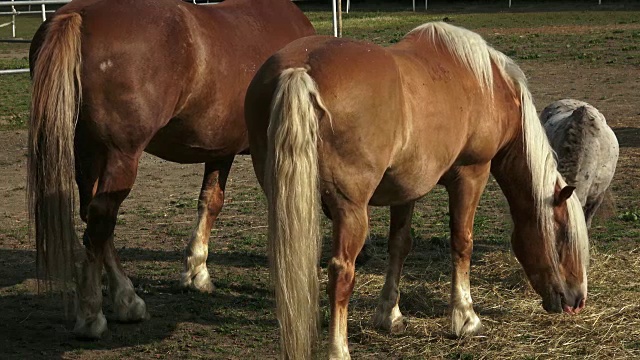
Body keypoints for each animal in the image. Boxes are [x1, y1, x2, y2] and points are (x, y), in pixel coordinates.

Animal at [27, 0, 316, 340]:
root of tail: (79, 14)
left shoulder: (219, 149)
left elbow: (210, 201)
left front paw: (196, 271)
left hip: (87, 150)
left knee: (94, 219)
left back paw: (127, 300)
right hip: (120, 154)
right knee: (101, 219)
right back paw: (92, 315)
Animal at [244, 21, 592, 358]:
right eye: (563, 237)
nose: (577, 300)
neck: (491, 86)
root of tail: (300, 70)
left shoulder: (404, 189)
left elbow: (399, 245)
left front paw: (390, 315)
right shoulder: (472, 174)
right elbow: (462, 242)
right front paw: (466, 318)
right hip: (349, 210)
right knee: (341, 273)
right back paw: (337, 350)